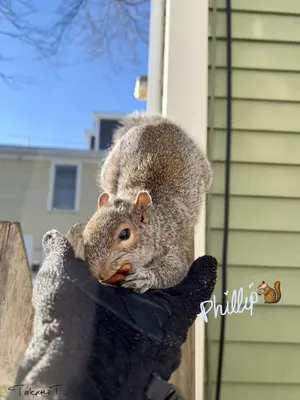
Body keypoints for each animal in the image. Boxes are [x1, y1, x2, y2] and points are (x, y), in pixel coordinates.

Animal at [82, 113, 213, 294]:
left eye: (124, 234)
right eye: (85, 232)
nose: (98, 274)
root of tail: (156, 123)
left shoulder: (172, 240)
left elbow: (175, 269)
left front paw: (144, 277)